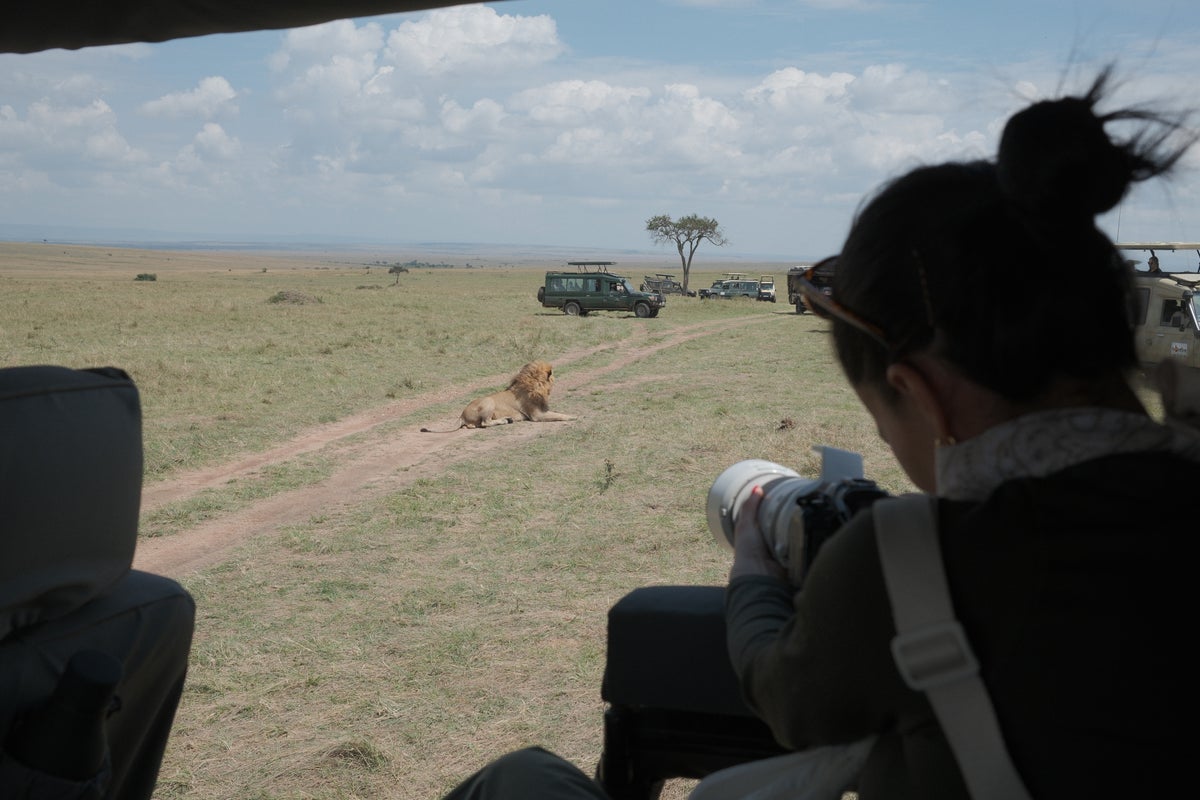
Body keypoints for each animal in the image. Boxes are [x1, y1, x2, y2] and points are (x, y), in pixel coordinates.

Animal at [420, 360, 575, 432]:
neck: (535, 385)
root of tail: (461, 415)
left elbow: (555, 412)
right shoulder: (537, 415)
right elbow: (558, 415)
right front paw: (573, 416)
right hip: (488, 401)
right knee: (485, 423)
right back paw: (505, 420)